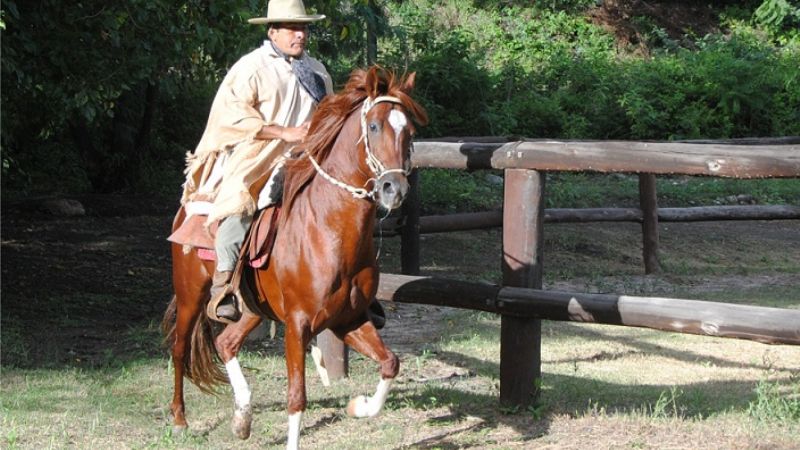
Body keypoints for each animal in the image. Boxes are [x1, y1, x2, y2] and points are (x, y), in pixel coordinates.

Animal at [162, 66, 428, 449]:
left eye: (409, 130)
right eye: (375, 126)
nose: (395, 189)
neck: (329, 230)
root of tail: (188, 207)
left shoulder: (348, 318)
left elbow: (390, 363)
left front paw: (358, 406)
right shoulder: (298, 324)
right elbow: (296, 398)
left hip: (252, 308)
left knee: (226, 342)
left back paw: (242, 417)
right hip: (191, 294)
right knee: (181, 348)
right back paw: (181, 419)